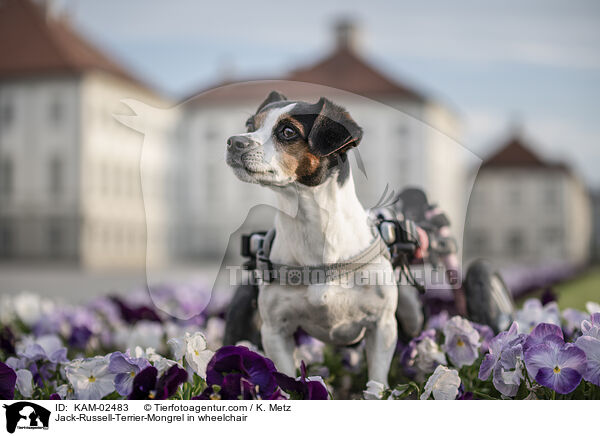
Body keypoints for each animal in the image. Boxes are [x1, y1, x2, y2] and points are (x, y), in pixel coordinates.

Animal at [227, 90, 400, 384]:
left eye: (287, 132)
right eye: (250, 125)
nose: (233, 142)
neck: (313, 227)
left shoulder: (383, 327)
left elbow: (376, 382)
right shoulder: (275, 331)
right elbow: (284, 375)